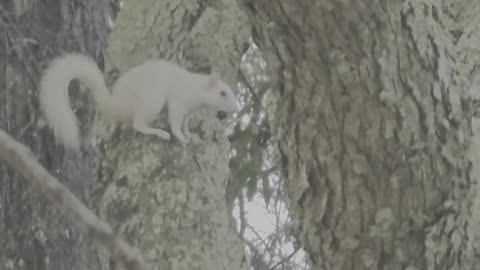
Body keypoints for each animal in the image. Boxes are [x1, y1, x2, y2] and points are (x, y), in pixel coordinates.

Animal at [39, 52, 238, 150]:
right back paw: (160, 133)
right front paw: (181, 138)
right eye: (222, 93)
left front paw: (190, 135)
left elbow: (185, 124)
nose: (235, 108)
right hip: (152, 101)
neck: (196, 88)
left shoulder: (188, 112)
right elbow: (175, 124)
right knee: (138, 125)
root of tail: (114, 104)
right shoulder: (178, 102)